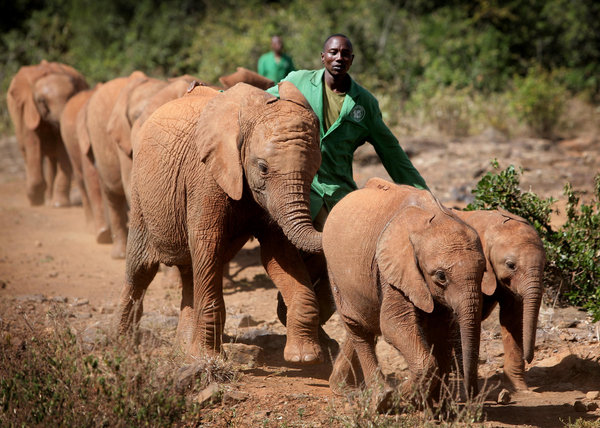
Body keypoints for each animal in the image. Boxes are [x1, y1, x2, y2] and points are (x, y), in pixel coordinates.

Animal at [326, 177, 490, 404]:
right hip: (335, 271)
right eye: (441, 276)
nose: (472, 396)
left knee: (367, 320)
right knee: (357, 327)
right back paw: (380, 398)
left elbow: (440, 331)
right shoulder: (393, 271)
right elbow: (393, 325)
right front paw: (400, 399)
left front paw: (433, 405)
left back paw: (346, 389)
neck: (431, 218)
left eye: (484, 272)